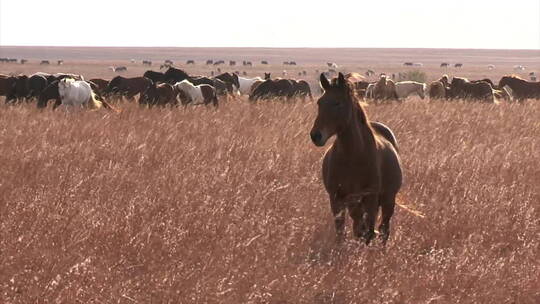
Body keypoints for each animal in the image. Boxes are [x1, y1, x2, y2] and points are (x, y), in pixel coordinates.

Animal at [308, 73, 400, 245]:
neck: (353, 156)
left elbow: (369, 233)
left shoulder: (370, 198)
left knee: (384, 230)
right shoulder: (336, 199)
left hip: (387, 201)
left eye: (337, 103)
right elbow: (342, 233)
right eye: (319, 102)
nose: (316, 136)